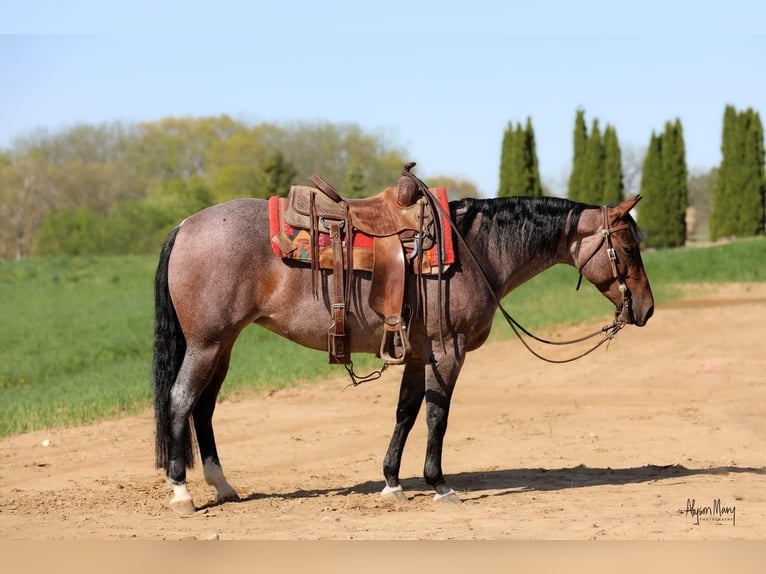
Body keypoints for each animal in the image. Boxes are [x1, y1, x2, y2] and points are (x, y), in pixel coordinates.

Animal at [154, 179, 656, 512]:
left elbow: (406, 412)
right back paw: (182, 492)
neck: (474, 250)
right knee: (180, 401)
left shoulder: (418, 353)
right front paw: (440, 484)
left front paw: (392, 481)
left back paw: (222, 486)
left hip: (223, 345)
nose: (647, 309)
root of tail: (184, 225)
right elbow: (437, 416)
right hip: (207, 344)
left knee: (203, 408)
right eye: (629, 247)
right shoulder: (448, 351)